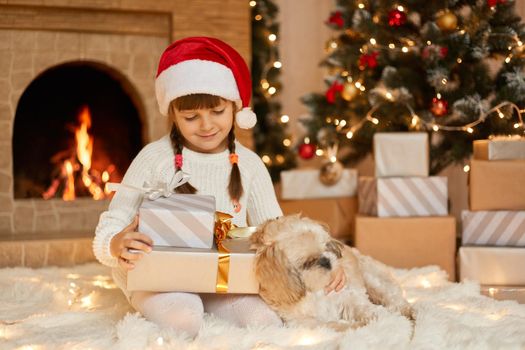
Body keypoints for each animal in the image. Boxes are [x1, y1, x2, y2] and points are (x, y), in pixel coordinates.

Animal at [251, 213, 414, 330]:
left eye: (326, 247)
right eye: (307, 263)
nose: (326, 261)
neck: (316, 292)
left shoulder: (347, 297)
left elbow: (364, 308)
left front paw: (380, 318)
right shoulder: (304, 322)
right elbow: (332, 325)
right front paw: (357, 326)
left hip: (374, 282)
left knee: (396, 301)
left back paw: (409, 313)